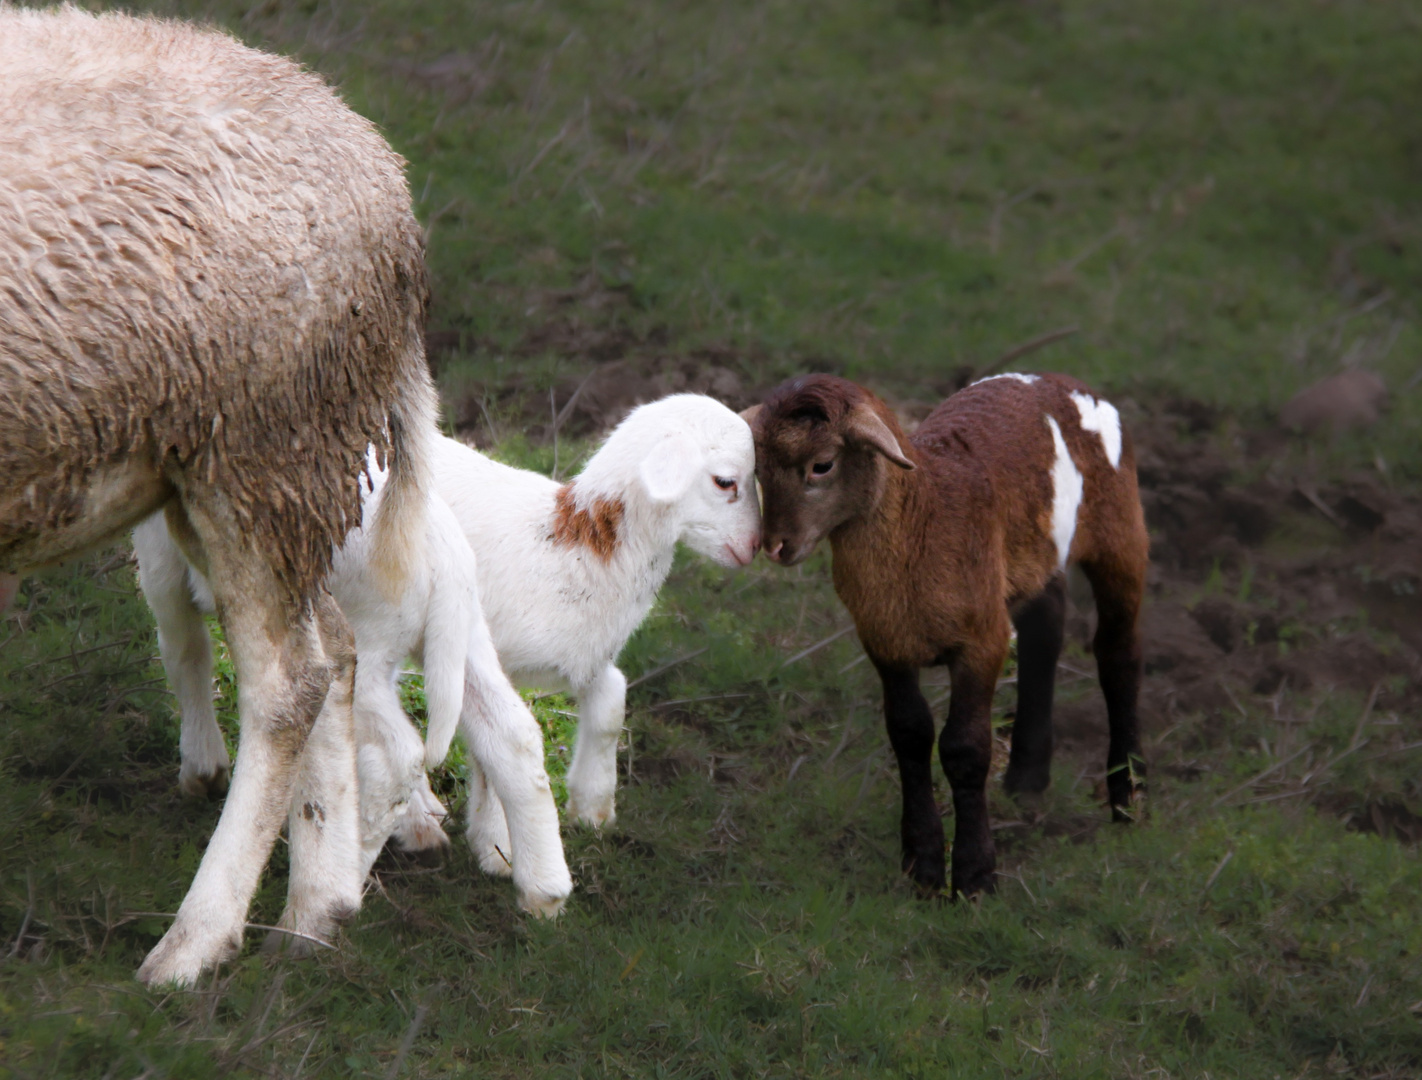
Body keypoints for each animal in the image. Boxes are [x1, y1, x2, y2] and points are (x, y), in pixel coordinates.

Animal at [0, 6, 432, 990]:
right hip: (214, 468)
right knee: (336, 650)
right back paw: (316, 913)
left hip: (260, 444)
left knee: (288, 683)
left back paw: (196, 942)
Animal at [133, 461, 574, 916]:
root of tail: (444, 554)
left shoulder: (158, 551)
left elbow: (183, 650)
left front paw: (202, 768)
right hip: (463, 634)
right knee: (512, 733)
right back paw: (543, 890)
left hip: (365, 644)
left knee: (399, 755)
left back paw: (335, 879)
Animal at [750, 372, 1148, 893]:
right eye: (757, 469)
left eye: (822, 465)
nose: (775, 546)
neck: (923, 515)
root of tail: (1064, 381)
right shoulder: (885, 640)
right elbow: (909, 735)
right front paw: (921, 864)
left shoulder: (981, 643)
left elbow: (964, 748)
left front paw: (975, 875)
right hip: (1031, 556)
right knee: (1045, 627)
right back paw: (1026, 779)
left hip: (1119, 529)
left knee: (1119, 652)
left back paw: (1129, 797)